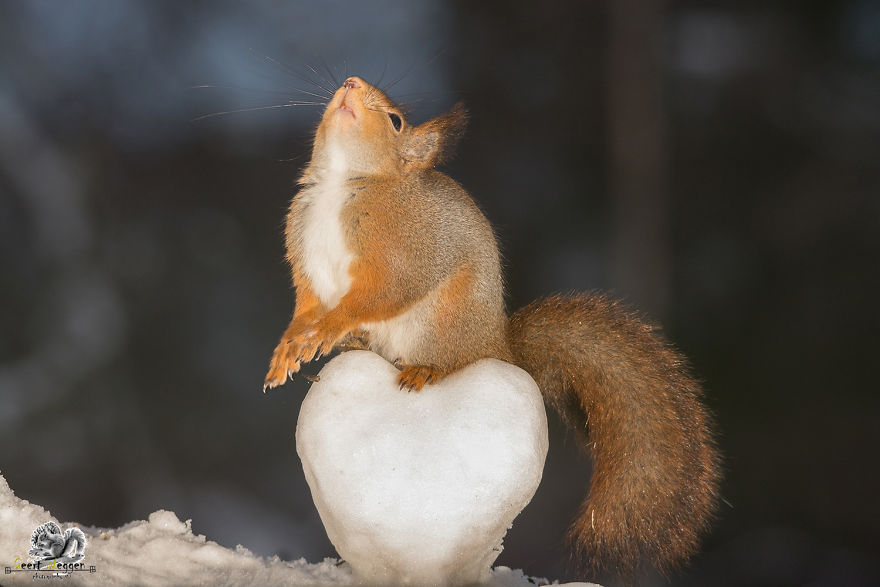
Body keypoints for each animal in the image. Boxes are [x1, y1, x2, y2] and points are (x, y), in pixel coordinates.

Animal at [264, 76, 721, 582]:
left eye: (395, 120)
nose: (349, 83)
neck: (343, 182)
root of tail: (496, 345)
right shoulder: (305, 256)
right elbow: (305, 307)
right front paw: (289, 348)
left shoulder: (403, 249)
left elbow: (384, 292)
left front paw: (328, 328)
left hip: (441, 321)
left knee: (450, 360)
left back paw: (422, 368)